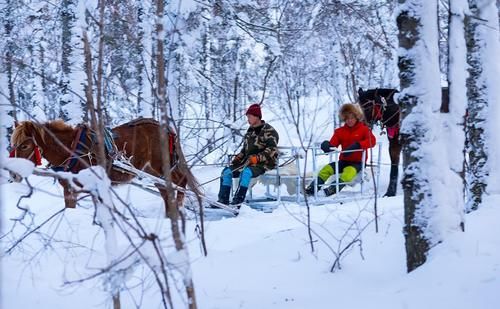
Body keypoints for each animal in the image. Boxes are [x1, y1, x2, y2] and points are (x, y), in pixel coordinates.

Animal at [8, 118, 199, 214]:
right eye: (12, 145)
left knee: (180, 182)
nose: (13, 174)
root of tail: (165, 127)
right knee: (166, 191)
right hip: (150, 170)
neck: (71, 148)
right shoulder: (70, 189)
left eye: (24, 145)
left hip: (161, 167)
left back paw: (179, 209)